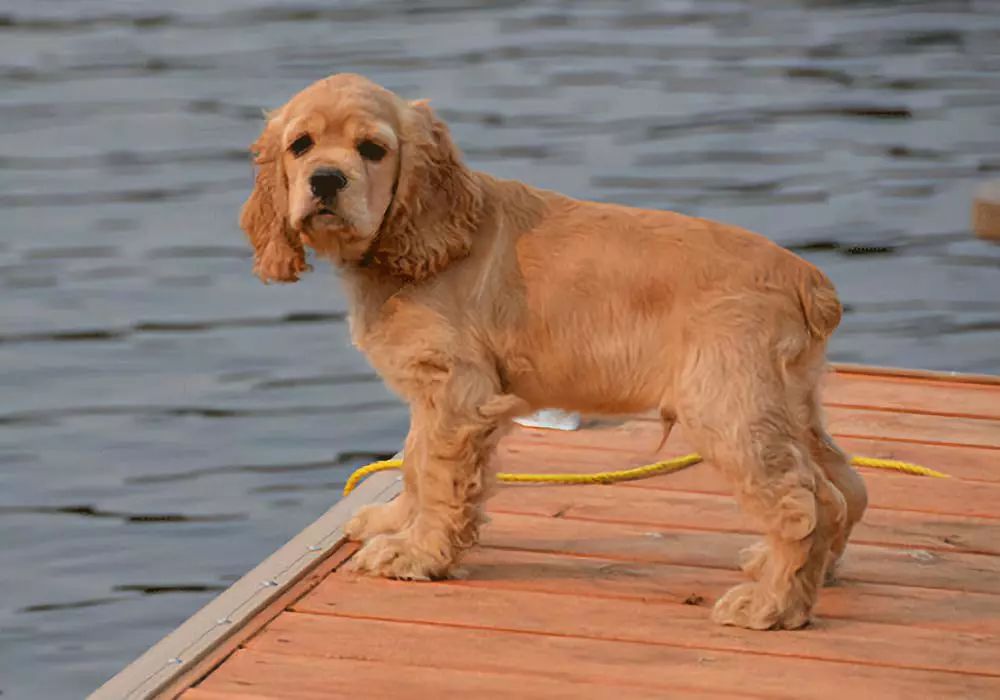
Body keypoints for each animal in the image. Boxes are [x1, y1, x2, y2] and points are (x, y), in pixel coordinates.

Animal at [240, 74, 868, 632]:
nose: (326, 181)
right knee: (844, 488)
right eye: (301, 145)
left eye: (372, 150)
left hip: (726, 409)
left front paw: (416, 554)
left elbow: (437, 475)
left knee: (802, 503)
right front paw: (393, 524)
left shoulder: (458, 392)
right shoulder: (435, 394)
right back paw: (801, 578)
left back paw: (772, 607)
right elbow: (415, 462)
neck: (419, 239)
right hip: (787, 401)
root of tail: (808, 280)